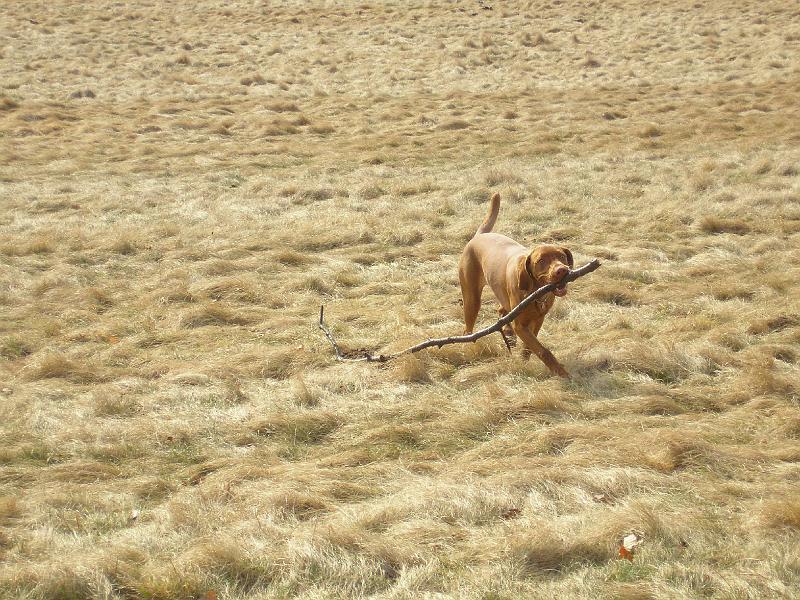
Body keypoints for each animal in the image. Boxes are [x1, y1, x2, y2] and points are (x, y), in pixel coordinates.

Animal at [456, 195, 576, 378]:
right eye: (541, 261)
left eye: (562, 256)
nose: (562, 270)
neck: (535, 294)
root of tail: (479, 236)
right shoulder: (521, 325)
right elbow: (543, 350)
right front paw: (560, 372)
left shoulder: (538, 320)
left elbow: (530, 347)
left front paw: (523, 360)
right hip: (472, 300)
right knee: (467, 330)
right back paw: (469, 345)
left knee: (501, 311)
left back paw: (508, 334)